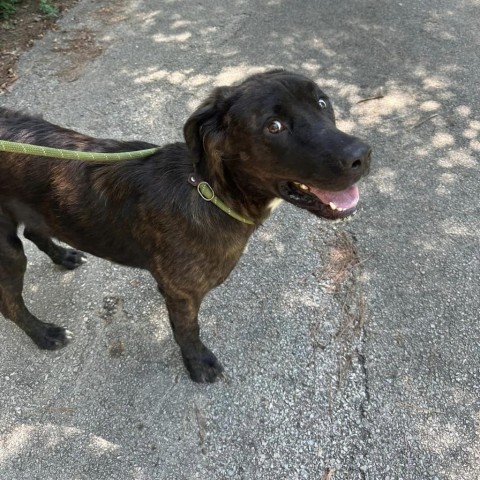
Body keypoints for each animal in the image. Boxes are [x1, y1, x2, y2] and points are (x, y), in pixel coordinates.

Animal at [0, 69, 372, 382]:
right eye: (274, 126)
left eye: (322, 102)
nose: (362, 155)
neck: (211, 192)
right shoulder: (182, 293)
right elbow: (187, 331)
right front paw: (198, 363)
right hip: (8, 251)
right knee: (10, 304)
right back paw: (44, 334)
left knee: (35, 231)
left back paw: (64, 257)